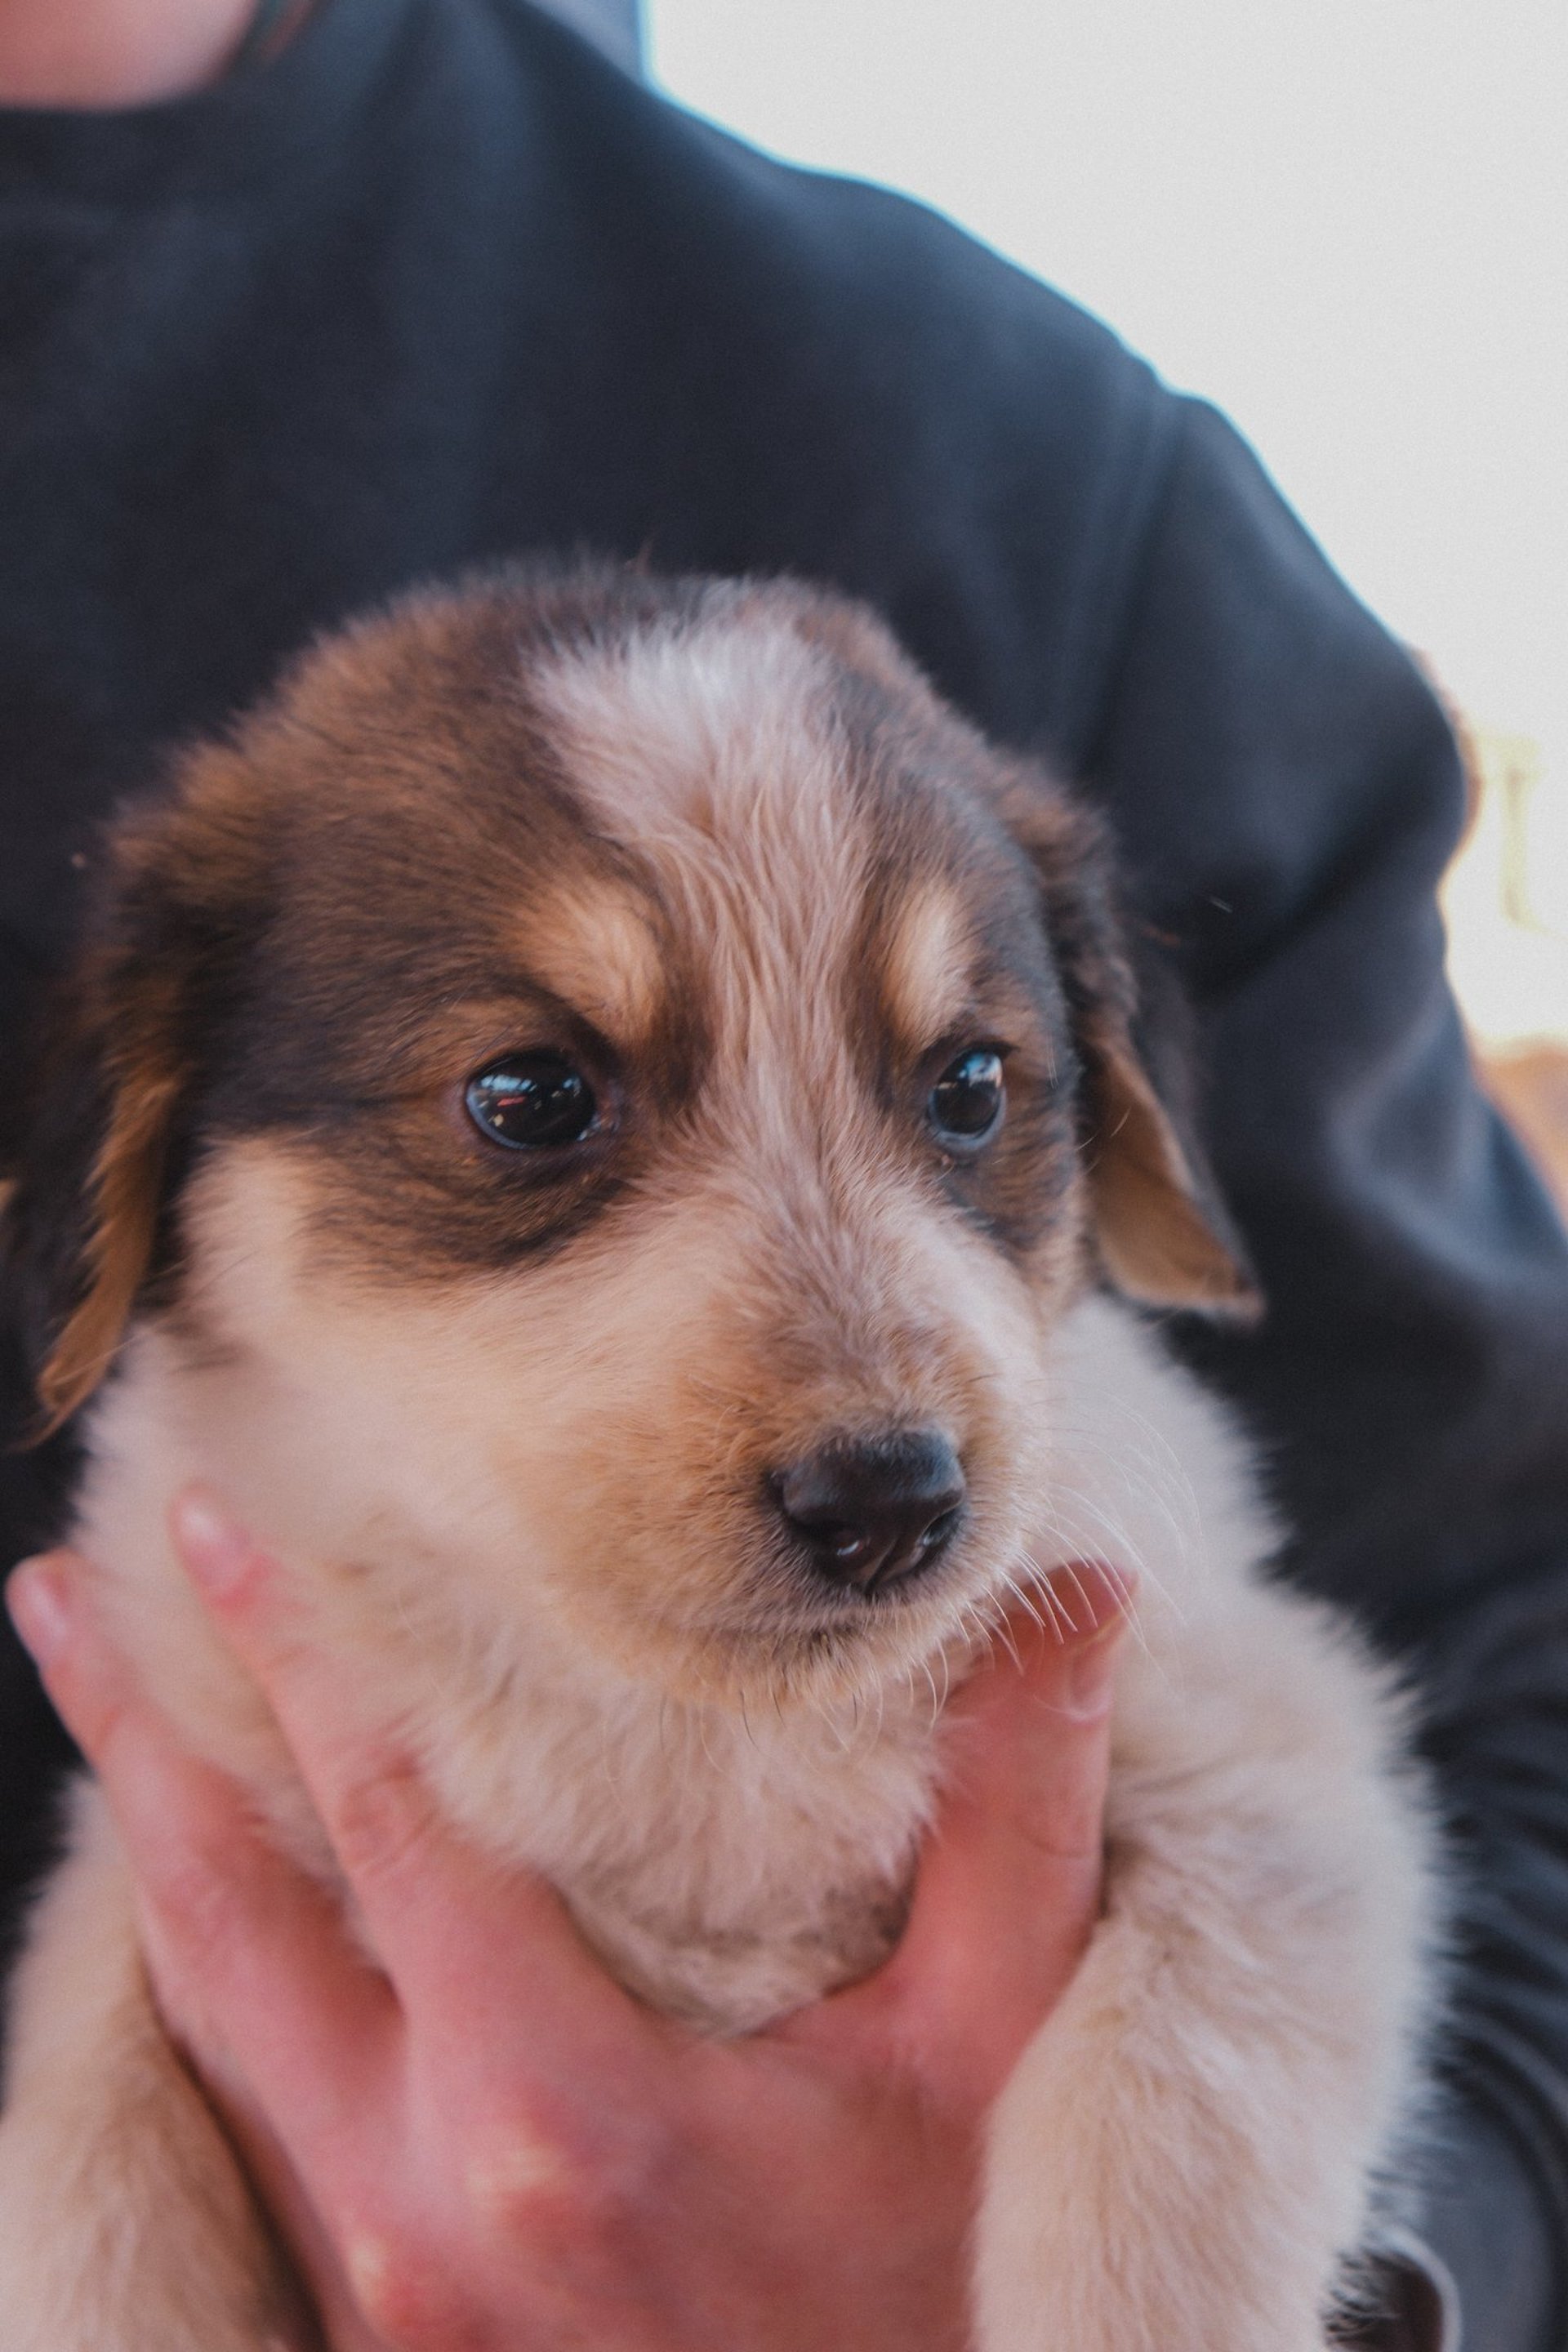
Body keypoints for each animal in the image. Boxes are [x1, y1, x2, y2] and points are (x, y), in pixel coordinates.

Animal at [0, 568, 1438, 2352]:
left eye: (971, 1083)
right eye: (530, 1094)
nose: (891, 1502)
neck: (696, 1745)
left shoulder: (1273, 1766)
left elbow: (1166, 2145)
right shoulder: (152, 1851)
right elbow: (87, 2177)